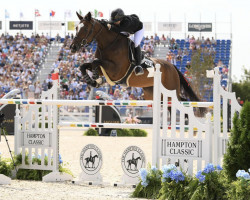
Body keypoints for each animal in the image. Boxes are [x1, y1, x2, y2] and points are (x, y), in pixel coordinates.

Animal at [70, 11, 203, 113]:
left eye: (85, 29)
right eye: (76, 28)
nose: (72, 47)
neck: (108, 44)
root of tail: (173, 67)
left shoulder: (116, 71)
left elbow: (96, 62)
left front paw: (96, 78)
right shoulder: (105, 70)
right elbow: (84, 66)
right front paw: (92, 80)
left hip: (171, 91)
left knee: (181, 103)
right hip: (154, 93)